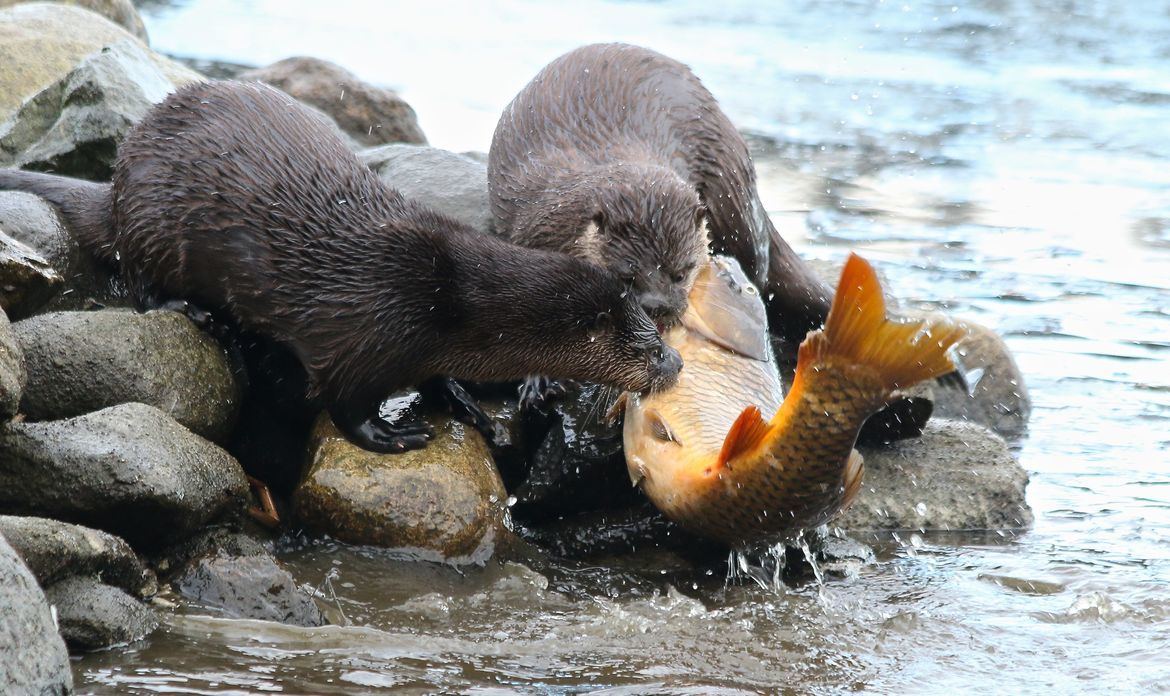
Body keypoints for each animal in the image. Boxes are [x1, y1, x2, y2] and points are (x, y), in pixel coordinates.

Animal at [0, 80, 681, 454]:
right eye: (642, 342)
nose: (674, 362)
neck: (447, 299)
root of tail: (117, 181)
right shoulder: (364, 338)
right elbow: (342, 400)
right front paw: (390, 434)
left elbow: (437, 377)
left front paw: (465, 402)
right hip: (153, 219)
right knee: (140, 281)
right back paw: (189, 309)